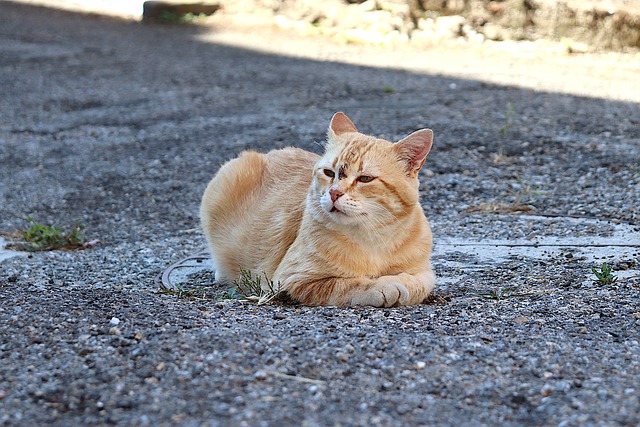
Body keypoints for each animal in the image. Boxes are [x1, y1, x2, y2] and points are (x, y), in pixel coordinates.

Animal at [200, 113, 436, 308]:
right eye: (329, 173)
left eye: (365, 178)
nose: (334, 193)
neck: (374, 237)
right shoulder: (292, 280)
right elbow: (349, 284)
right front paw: (383, 286)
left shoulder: (426, 273)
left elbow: (418, 283)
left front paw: (400, 281)